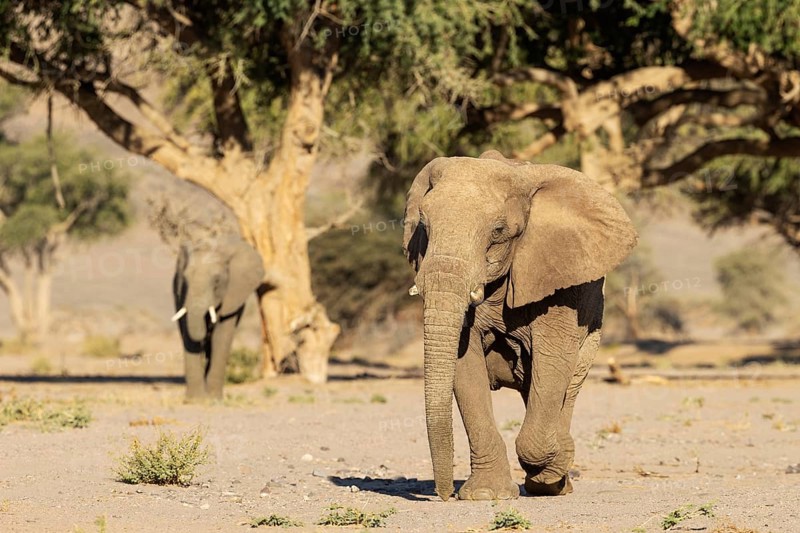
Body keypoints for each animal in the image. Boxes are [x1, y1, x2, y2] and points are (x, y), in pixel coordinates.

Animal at [171, 236, 264, 400]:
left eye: (217, 281)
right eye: (186, 279)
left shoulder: (232, 295)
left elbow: (221, 336)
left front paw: (213, 398)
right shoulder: (181, 294)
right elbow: (188, 335)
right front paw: (196, 400)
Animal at [402, 150, 637, 501]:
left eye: (498, 230)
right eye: (424, 226)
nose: (443, 495)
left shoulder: (560, 280)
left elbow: (553, 360)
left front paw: (552, 467)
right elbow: (464, 364)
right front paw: (486, 495)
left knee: (566, 387)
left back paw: (554, 482)